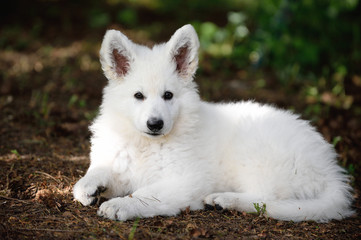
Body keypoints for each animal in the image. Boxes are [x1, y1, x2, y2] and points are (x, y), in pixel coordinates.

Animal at [72, 24, 352, 223]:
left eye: (168, 95)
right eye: (138, 96)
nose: (155, 124)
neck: (146, 143)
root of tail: (331, 171)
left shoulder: (185, 181)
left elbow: (144, 194)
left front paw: (120, 205)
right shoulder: (122, 166)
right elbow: (98, 172)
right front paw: (89, 186)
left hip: (257, 154)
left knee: (265, 199)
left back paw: (224, 199)